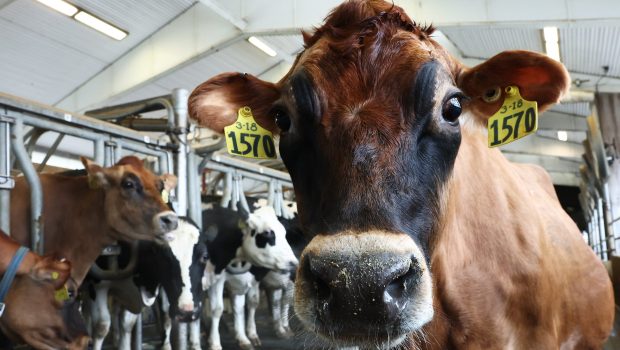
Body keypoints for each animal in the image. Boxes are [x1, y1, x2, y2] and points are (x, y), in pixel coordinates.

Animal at [202, 200, 300, 350]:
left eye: (284, 233)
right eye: (267, 233)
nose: (294, 263)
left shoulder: (249, 279)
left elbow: (246, 305)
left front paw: (245, 338)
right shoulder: (216, 279)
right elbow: (217, 309)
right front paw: (215, 343)